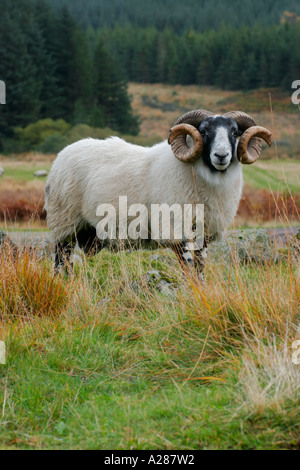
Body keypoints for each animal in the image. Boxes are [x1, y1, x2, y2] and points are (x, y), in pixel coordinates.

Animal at [45, 110, 272, 278]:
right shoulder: (175, 230)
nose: (221, 155)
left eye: (235, 133)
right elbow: (188, 269)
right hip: (65, 224)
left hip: (86, 232)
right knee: (61, 262)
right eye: (204, 132)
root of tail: (61, 155)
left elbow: (200, 269)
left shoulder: (204, 232)